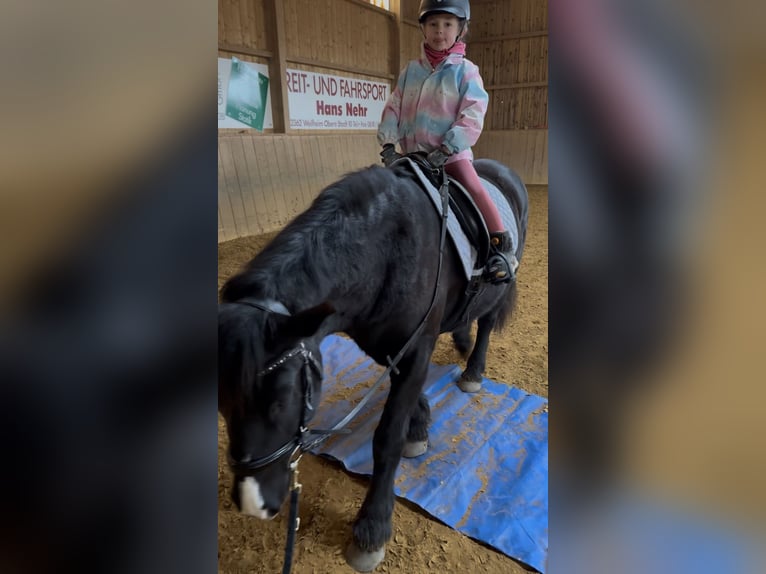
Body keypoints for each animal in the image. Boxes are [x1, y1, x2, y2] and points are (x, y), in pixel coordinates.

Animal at [218, 157, 529, 572]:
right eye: (220, 404)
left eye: (280, 402)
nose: (253, 503)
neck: (384, 253)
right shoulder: (387, 345)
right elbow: (408, 394)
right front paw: (420, 422)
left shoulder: (416, 345)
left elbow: (387, 438)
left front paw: (372, 528)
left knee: (488, 322)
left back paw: (473, 371)